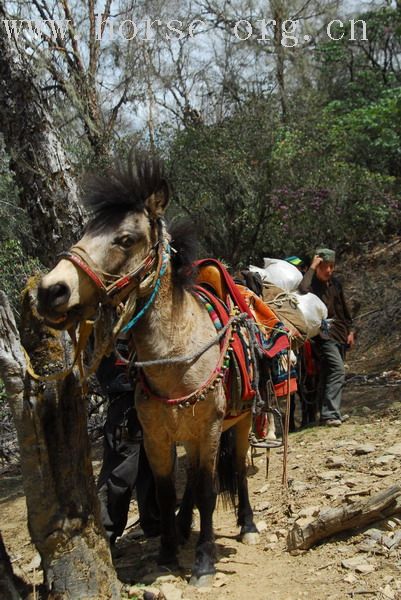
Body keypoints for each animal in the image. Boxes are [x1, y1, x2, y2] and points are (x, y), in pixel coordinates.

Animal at [36, 155, 258, 584]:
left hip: (240, 423)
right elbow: (167, 490)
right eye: (85, 232)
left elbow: (208, 491)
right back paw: (185, 525)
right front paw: (169, 552)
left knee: (237, 469)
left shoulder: (208, 429)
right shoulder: (157, 436)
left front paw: (203, 561)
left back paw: (248, 524)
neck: (177, 357)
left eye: (125, 239)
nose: (50, 290)